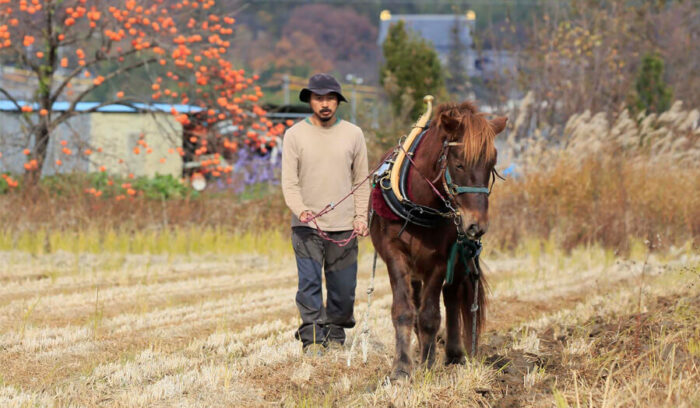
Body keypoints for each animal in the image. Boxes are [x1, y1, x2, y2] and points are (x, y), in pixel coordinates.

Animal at [369, 100, 507, 380]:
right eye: (459, 164)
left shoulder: (442, 259)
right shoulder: (394, 254)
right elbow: (404, 311)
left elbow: (431, 315)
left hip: (460, 257)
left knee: (451, 295)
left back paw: (453, 354)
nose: (477, 225)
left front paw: (429, 363)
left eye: (491, 165)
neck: (419, 205)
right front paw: (402, 367)